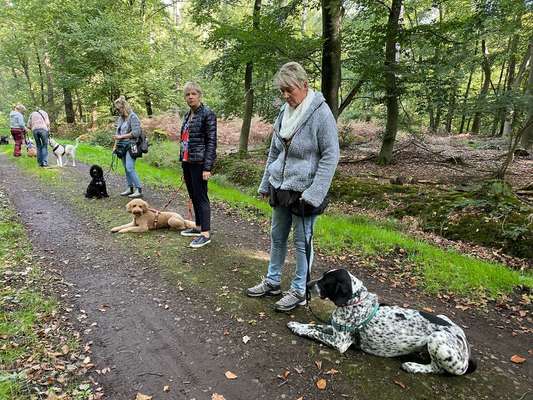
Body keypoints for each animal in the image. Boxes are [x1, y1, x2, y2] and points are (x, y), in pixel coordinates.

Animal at [286, 268, 478, 376]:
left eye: (325, 281)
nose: (307, 285)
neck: (356, 302)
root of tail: (465, 345)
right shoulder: (334, 330)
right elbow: (313, 326)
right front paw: (297, 324)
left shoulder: (339, 342)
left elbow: (313, 331)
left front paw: (296, 328)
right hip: (443, 318)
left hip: (437, 339)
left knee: (438, 368)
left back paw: (413, 366)